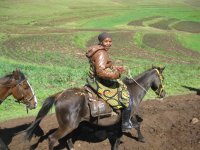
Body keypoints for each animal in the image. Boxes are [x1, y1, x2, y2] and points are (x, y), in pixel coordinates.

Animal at [24, 66, 166, 149]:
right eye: (163, 78)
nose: (164, 94)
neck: (132, 90)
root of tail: (59, 95)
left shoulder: (129, 115)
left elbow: (137, 125)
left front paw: (141, 138)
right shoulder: (126, 116)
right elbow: (123, 134)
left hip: (70, 125)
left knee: (68, 139)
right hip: (67, 126)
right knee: (52, 139)